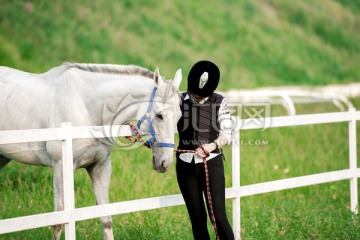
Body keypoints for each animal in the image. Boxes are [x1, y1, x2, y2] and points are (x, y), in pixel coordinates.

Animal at [0, 62, 181, 239]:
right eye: (159, 115)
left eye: (179, 116)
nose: (165, 163)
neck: (86, 108)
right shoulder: (60, 168)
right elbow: (58, 223)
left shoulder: (100, 167)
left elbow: (106, 219)